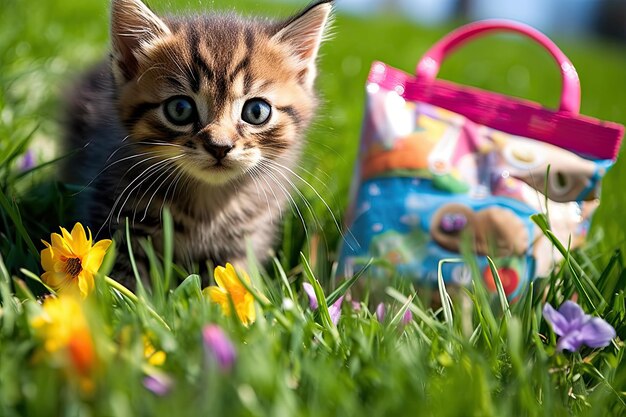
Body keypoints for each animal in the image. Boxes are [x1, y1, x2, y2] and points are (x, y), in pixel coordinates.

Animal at [63, 0, 332, 284]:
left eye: (256, 111)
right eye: (180, 109)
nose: (220, 147)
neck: (208, 202)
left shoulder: (245, 238)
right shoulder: (118, 217)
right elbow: (124, 278)